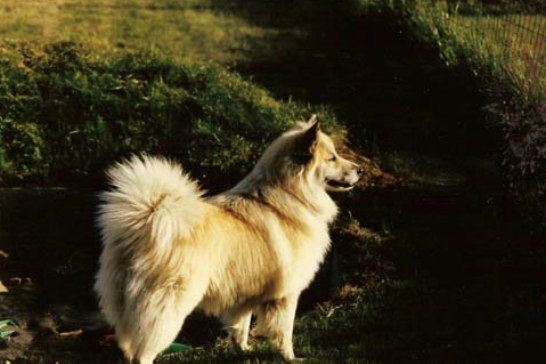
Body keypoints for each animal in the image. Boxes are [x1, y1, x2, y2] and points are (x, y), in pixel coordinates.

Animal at [94, 116, 362, 364]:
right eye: (332, 158)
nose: (360, 169)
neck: (289, 195)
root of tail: (150, 217)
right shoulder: (286, 295)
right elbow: (284, 332)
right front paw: (291, 358)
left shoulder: (243, 296)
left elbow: (240, 327)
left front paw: (243, 351)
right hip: (169, 305)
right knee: (144, 352)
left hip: (124, 306)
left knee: (128, 345)